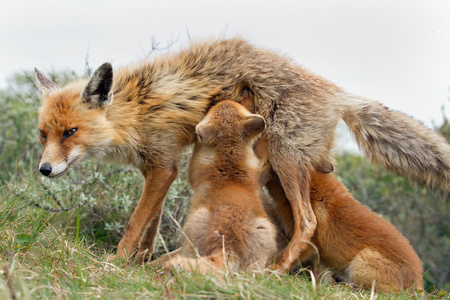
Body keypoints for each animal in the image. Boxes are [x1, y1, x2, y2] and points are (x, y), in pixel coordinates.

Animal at [153, 100, 276, 272]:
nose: (224, 99)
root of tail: (230, 247)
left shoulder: (194, 171)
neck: (230, 168)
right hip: (265, 233)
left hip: (193, 224)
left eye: (212, 109)